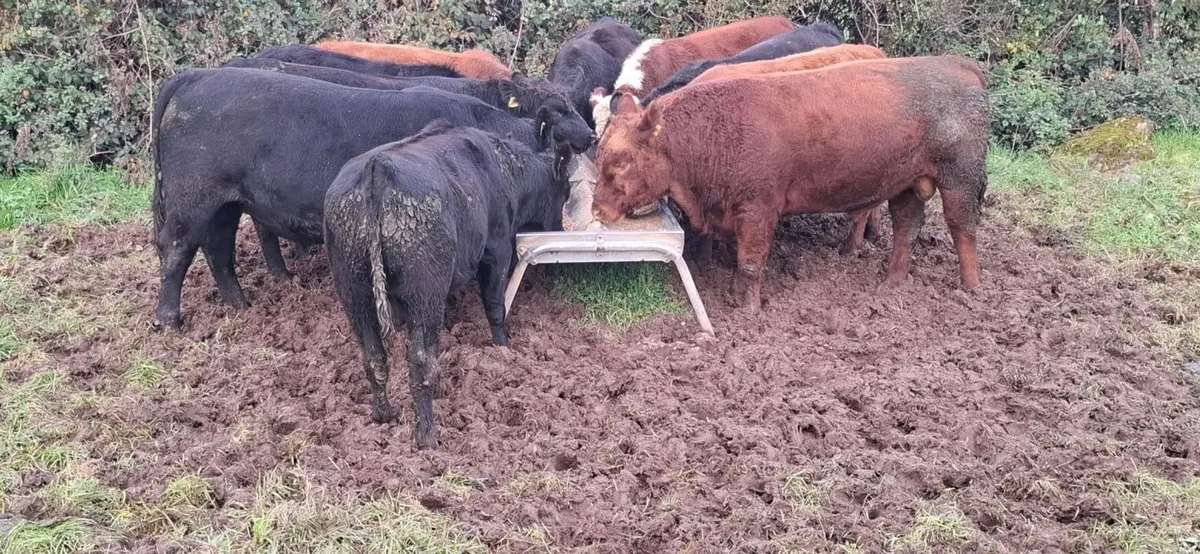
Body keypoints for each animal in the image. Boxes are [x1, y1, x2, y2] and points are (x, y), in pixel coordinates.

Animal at [151, 68, 557, 331]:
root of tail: (192, 77)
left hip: (227, 202)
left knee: (218, 249)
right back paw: (170, 322)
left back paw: (242, 306)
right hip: (194, 195)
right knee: (176, 247)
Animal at [324, 121, 573, 449]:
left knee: (373, 355)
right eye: (566, 191)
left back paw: (383, 415)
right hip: (424, 292)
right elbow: (495, 306)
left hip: (354, 293)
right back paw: (427, 436)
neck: (502, 168)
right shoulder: (497, 250)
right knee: (420, 360)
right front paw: (503, 349)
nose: (561, 228)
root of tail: (376, 168)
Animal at [592, 56, 990, 311]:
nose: (597, 209)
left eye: (621, 161)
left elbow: (751, 262)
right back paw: (891, 283)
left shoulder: (758, 209)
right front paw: (735, 293)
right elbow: (740, 259)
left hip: (960, 177)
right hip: (906, 183)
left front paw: (749, 309)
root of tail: (959, 64)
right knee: (907, 227)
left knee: (962, 228)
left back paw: (971, 289)